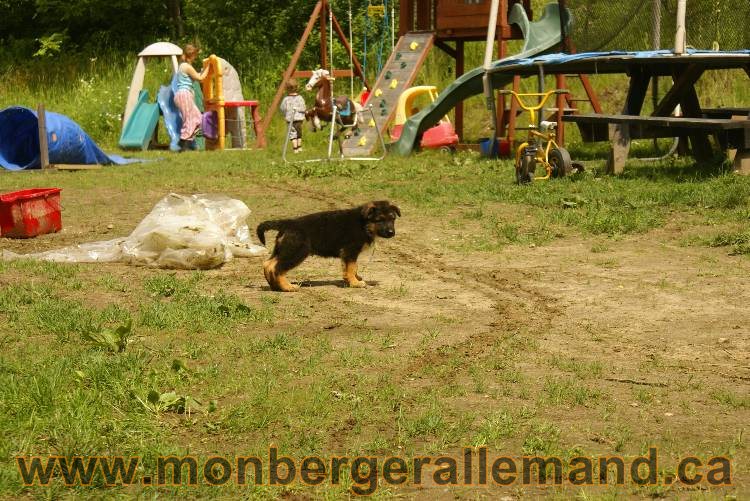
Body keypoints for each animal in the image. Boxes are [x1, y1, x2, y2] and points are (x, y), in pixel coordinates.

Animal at [258, 201, 400, 292]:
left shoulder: (348, 253)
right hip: (297, 251)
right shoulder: (351, 250)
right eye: (380, 220)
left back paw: (274, 286)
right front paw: (355, 283)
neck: (364, 224)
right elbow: (351, 267)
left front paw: (353, 279)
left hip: (284, 250)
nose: (391, 233)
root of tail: (287, 223)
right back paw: (287, 287)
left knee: (268, 264)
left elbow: (352, 267)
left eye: (392, 219)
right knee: (277, 268)